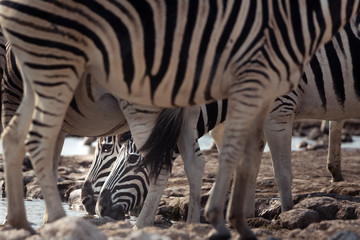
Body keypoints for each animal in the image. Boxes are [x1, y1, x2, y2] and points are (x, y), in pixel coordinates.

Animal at [1, 1, 358, 238]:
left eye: (109, 150)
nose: (94, 205)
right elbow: (241, 160)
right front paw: (234, 214)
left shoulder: (278, 107)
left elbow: (280, 172)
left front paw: (285, 215)